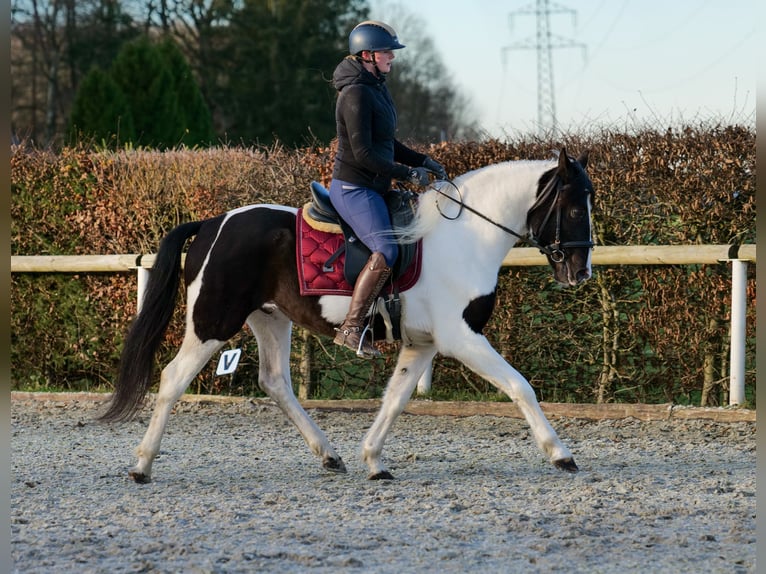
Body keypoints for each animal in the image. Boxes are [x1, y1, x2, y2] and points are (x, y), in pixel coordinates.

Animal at [99, 150, 596, 486]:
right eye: (574, 207)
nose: (580, 272)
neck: (465, 235)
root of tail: (211, 223)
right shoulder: (462, 337)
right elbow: (519, 386)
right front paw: (560, 454)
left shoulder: (423, 343)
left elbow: (395, 399)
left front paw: (374, 459)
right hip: (213, 322)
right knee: (172, 378)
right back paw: (142, 464)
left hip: (270, 319)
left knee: (275, 381)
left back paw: (329, 455)